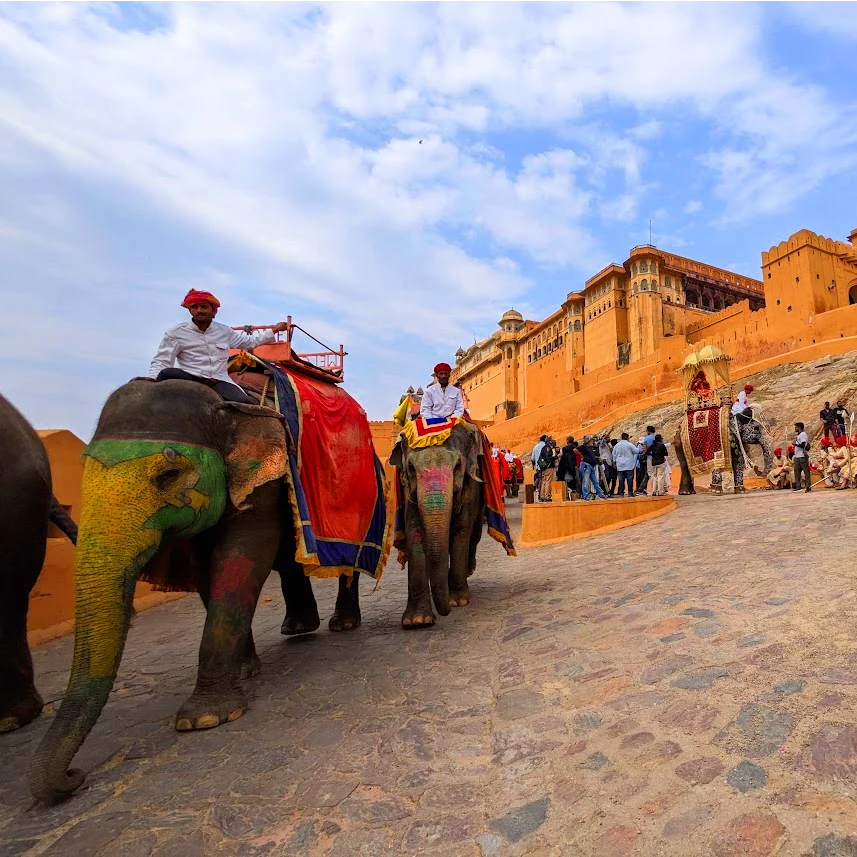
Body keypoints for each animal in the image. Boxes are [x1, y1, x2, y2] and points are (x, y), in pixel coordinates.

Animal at [25, 378, 368, 804]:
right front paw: (244, 671)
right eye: (83, 472)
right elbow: (208, 573)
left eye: (169, 474)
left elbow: (240, 560)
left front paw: (206, 718)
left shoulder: (263, 486)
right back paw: (299, 628)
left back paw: (342, 624)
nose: (76, 775)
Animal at [390, 422, 488, 628]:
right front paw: (417, 620)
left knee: (473, 536)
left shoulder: (471, 487)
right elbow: (414, 532)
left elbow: (461, 529)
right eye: (411, 467)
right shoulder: (408, 491)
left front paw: (457, 601)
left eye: (458, 466)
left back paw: (468, 570)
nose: (447, 612)